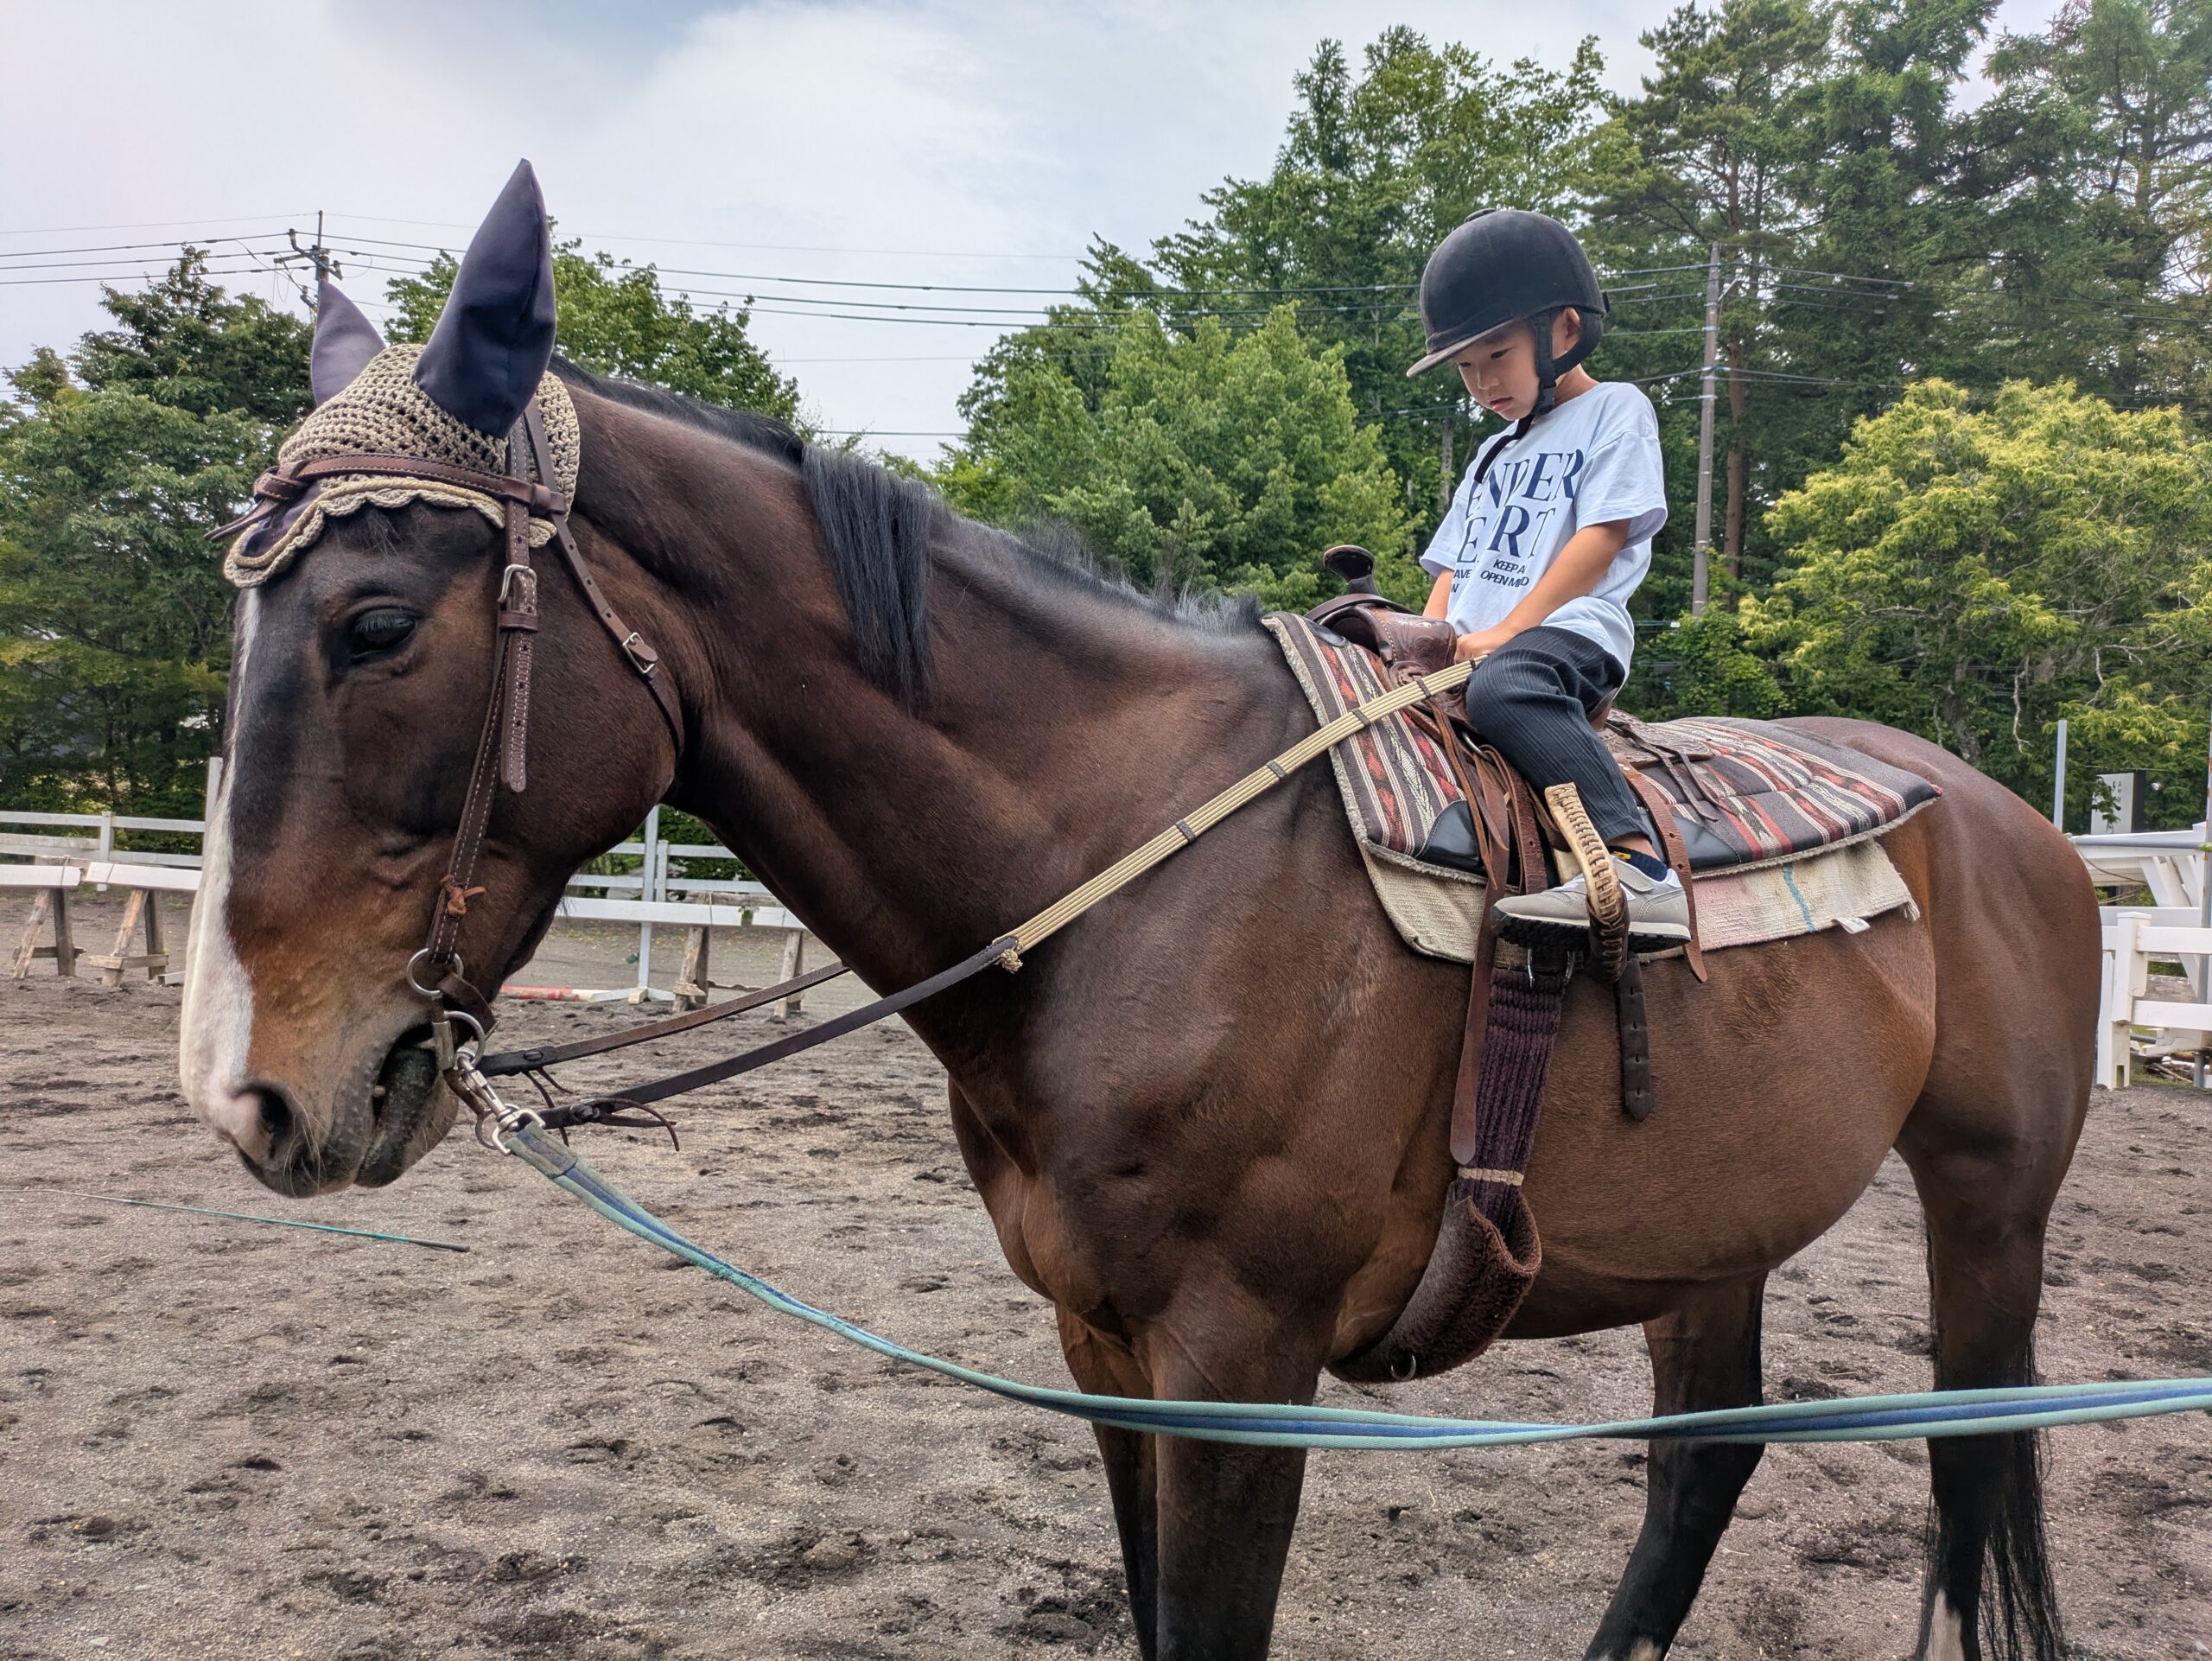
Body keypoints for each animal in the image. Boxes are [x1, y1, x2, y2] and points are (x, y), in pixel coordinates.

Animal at [179, 167, 2096, 1661]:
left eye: (371, 624)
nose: (250, 1089)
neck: (1132, 874)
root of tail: (2021, 830)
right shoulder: (1101, 1344)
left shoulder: (1239, 1363)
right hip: (1715, 1219)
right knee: (1704, 1458)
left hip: (1988, 1202)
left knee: (1972, 1454)